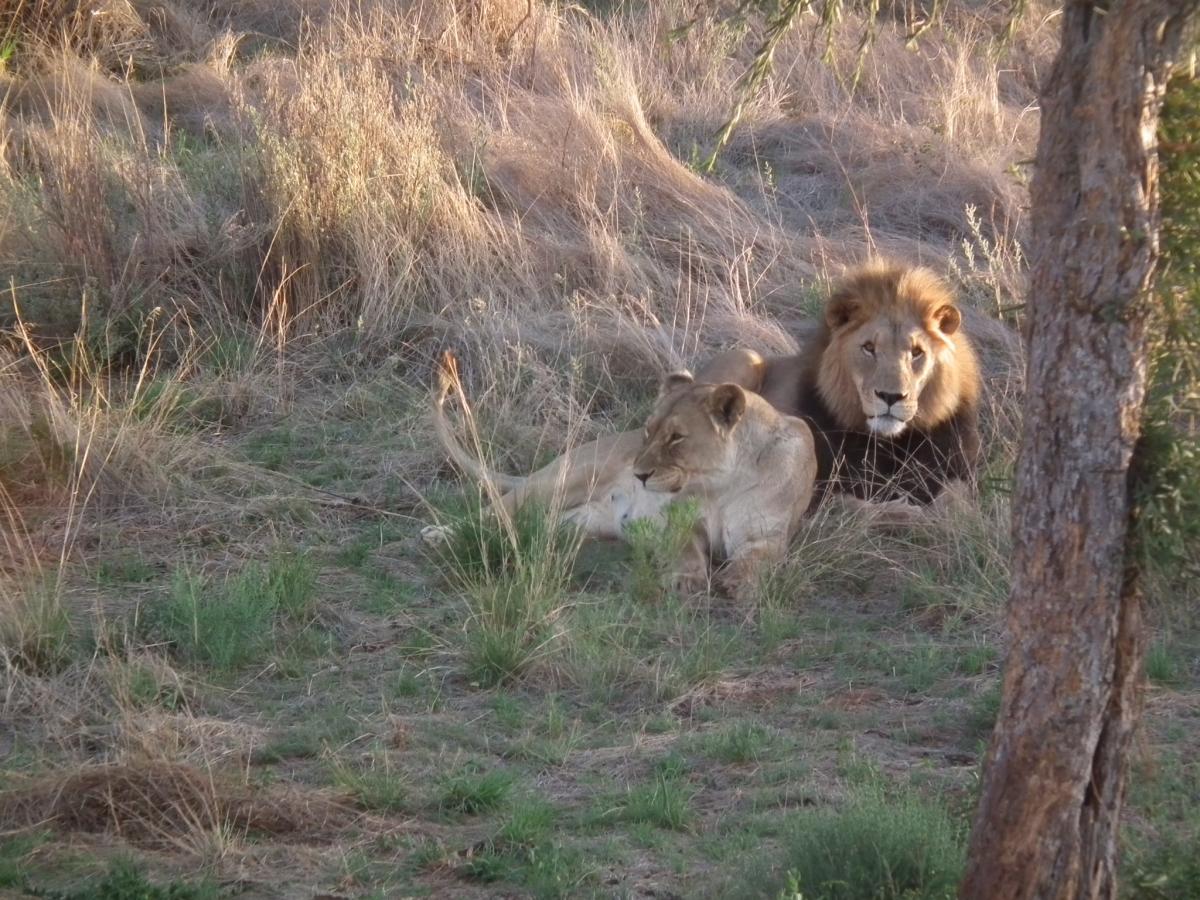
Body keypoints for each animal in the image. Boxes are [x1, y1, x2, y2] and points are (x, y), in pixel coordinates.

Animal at [425, 354, 816, 597]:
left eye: (676, 437)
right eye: (648, 430)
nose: (639, 475)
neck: (721, 484)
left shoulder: (766, 534)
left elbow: (757, 561)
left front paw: (738, 583)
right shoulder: (678, 519)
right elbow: (685, 549)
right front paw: (684, 580)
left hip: (574, 522)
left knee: (527, 526)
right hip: (565, 478)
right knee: (496, 511)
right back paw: (438, 535)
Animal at [695, 260, 982, 505]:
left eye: (917, 352)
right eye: (869, 348)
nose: (890, 397)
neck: (888, 444)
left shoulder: (950, 468)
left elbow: (956, 499)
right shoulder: (830, 485)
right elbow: (865, 508)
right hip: (745, 357)